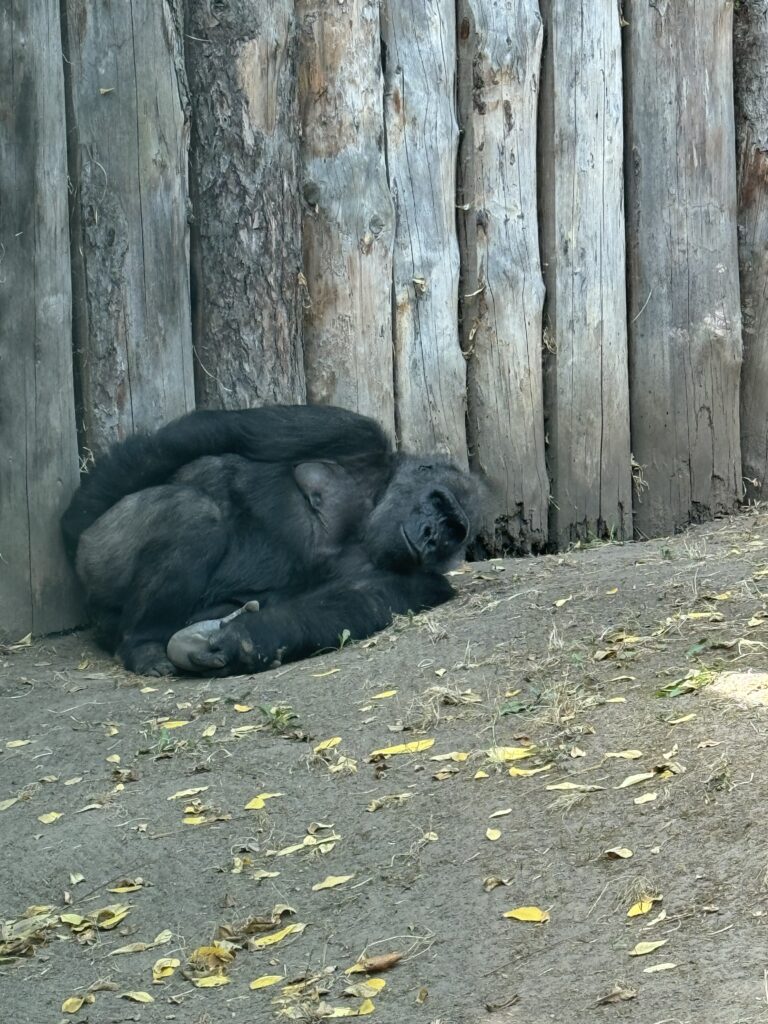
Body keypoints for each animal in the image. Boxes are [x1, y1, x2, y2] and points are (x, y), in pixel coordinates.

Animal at [60, 403, 481, 675]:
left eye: (452, 531)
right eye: (438, 503)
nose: (432, 537)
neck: (374, 501)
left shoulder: (427, 580)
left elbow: (356, 602)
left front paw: (244, 640)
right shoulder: (349, 431)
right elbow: (205, 436)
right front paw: (73, 523)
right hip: (99, 563)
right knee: (192, 512)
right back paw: (141, 644)